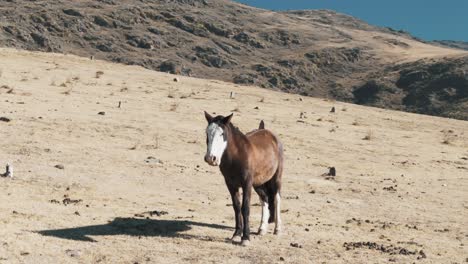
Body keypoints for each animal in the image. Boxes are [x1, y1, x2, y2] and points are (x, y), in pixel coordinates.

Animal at [203, 111, 284, 245]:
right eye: (207, 133)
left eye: (222, 133)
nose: (211, 158)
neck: (237, 156)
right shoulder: (231, 184)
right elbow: (236, 207)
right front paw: (236, 234)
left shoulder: (246, 184)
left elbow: (245, 208)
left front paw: (245, 238)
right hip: (258, 183)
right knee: (265, 199)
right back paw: (262, 228)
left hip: (276, 179)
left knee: (276, 199)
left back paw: (277, 229)